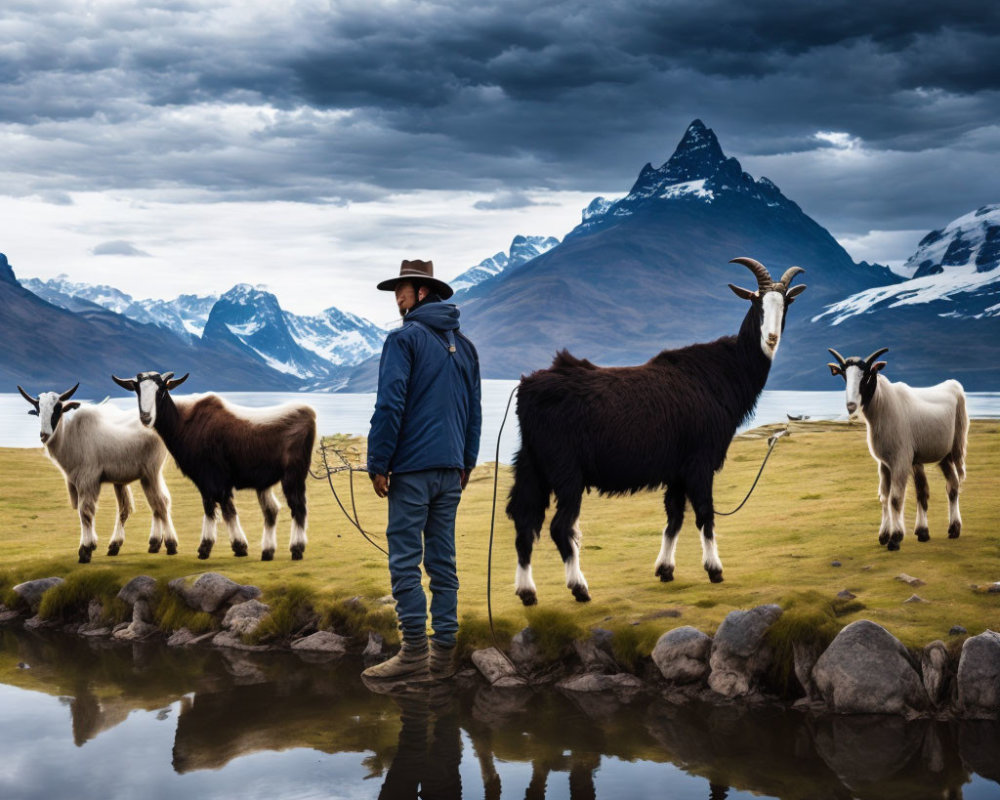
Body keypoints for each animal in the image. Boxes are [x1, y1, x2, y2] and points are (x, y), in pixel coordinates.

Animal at [16, 382, 177, 564]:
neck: (70, 436)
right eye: (38, 410)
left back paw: (170, 544)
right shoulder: (77, 481)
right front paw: (90, 546)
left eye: (57, 409)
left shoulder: (88, 479)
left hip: (151, 472)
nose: (44, 435)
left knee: (160, 503)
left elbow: (85, 511)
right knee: (155, 503)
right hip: (146, 476)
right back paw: (147, 543)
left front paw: (85, 549)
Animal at [508, 260, 804, 604]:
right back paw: (579, 588)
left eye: (786, 305)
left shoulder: (677, 470)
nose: (771, 338)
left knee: (524, 523)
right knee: (560, 526)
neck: (722, 373)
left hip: (531, 464)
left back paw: (527, 592)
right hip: (566, 470)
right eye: (756, 303)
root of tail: (528, 388)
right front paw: (715, 570)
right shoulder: (700, 461)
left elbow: (674, 516)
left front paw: (665, 569)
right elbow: (704, 513)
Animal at [828, 348, 968, 552]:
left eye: (867, 375)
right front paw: (884, 535)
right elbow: (884, 497)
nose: (851, 405)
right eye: (844, 375)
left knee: (953, 486)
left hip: (955, 447)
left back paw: (954, 529)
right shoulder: (884, 463)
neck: (883, 405)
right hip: (940, 455)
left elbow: (895, 498)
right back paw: (928, 531)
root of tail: (954, 385)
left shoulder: (900, 460)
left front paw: (895, 538)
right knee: (941, 487)